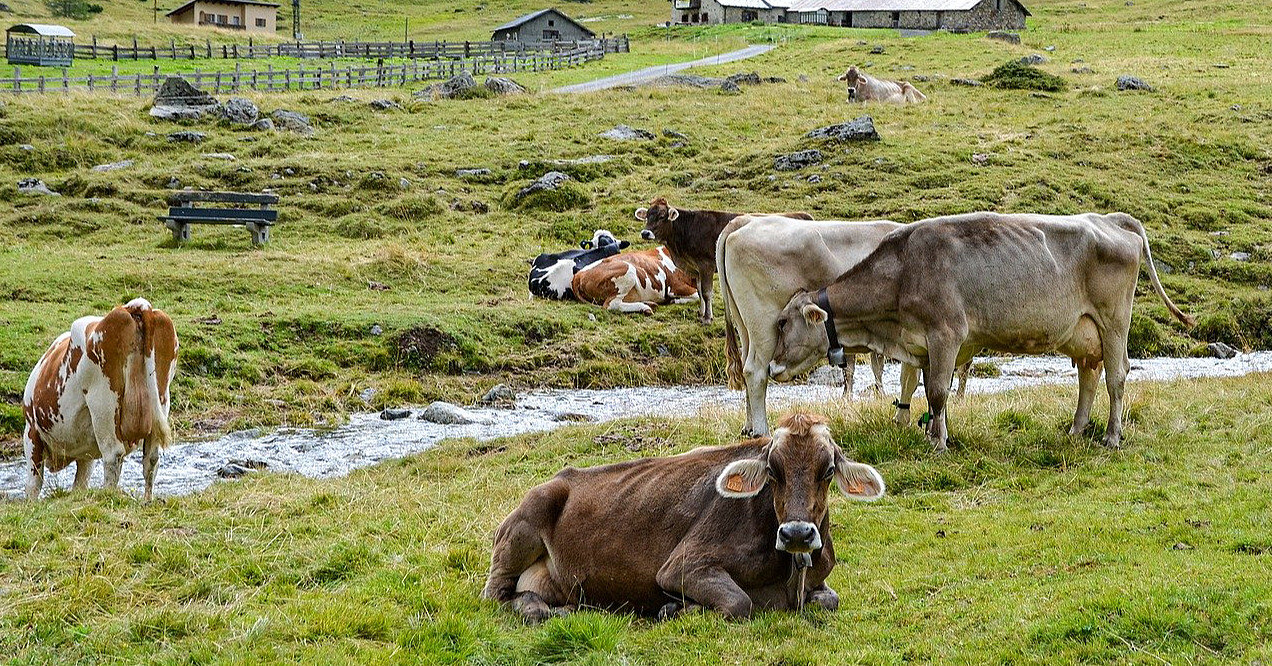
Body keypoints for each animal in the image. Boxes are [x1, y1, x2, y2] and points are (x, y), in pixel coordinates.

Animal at [21, 297, 179, 498]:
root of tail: (134, 306)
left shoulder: (31, 431)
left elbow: (33, 484)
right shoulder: (85, 456)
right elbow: (80, 483)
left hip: (103, 403)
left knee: (113, 455)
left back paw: (108, 495)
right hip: (161, 398)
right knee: (151, 460)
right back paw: (147, 500)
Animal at [480, 414, 890, 622]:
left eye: (828, 470)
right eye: (773, 471)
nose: (797, 534)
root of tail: (558, 477)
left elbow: (829, 599)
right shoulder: (682, 566)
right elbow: (739, 603)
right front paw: (675, 607)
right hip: (525, 521)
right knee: (498, 594)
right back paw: (537, 610)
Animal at [572, 245, 702, 316]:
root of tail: (579, 274)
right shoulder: (675, 286)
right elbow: (696, 295)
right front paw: (675, 300)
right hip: (628, 270)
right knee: (612, 305)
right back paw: (645, 307)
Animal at [636, 197, 814, 324]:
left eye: (661, 216)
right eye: (647, 216)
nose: (645, 233)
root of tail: (803, 215)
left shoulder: (706, 265)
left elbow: (706, 292)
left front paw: (707, 319)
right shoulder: (696, 268)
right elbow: (699, 291)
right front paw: (701, 314)